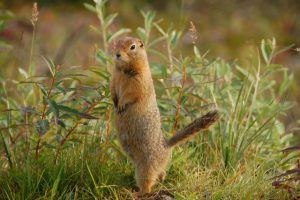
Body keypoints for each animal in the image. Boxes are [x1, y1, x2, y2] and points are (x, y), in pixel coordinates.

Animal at [109, 36, 219, 197]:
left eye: (132, 47)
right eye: (116, 42)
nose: (117, 54)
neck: (124, 70)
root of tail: (166, 146)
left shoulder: (139, 81)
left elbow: (132, 94)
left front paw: (121, 104)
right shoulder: (114, 78)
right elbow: (112, 90)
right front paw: (115, 103)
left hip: (145, 167)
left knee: (147, 186)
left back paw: (136, 193)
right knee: (161, 174)